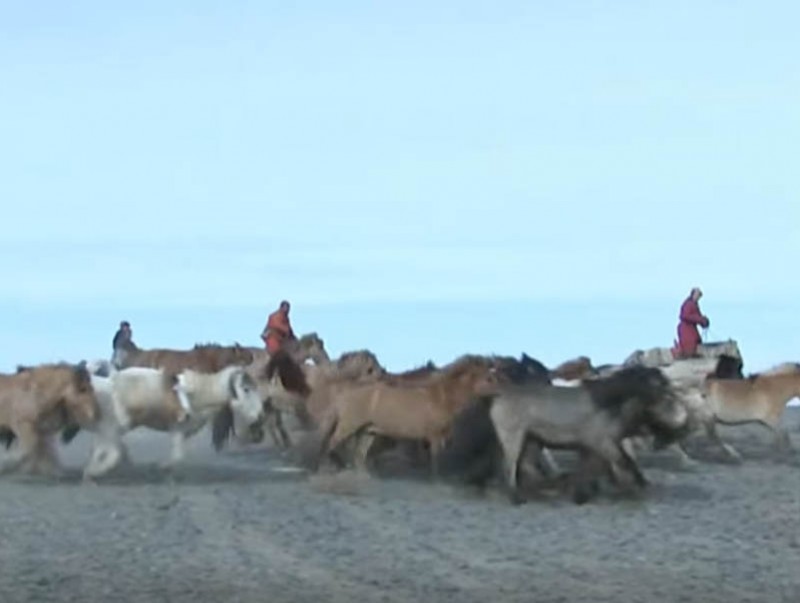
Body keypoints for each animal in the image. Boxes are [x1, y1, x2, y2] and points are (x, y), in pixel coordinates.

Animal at [82, 364, 264, 479]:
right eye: (246, 389)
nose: (260, 415)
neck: (201, 393)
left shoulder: (182, 430)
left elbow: (178, 455)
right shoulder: (177, 426)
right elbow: (178, 456)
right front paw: (162, 467)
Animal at [312, 355, 501, 476]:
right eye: (488, 378)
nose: (501, 389)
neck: (441, 397)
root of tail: (348, 388)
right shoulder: (434, 437)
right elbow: (435, 462)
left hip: (368, 431)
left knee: (359, 455)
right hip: (348, 425)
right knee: (331, 443)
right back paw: (323, 468)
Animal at [438, 365, 689, 505]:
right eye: (661, 388)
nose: (682, 421)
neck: (605, 402)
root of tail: (497, 395)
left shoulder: (592, 446)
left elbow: (596, 469)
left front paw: (582, 494)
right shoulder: (601, 442)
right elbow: (624, 462)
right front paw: (636, 486)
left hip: (526, 440)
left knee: (516, 466)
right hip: (514, 436)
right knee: (510, 465)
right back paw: (517, 498)